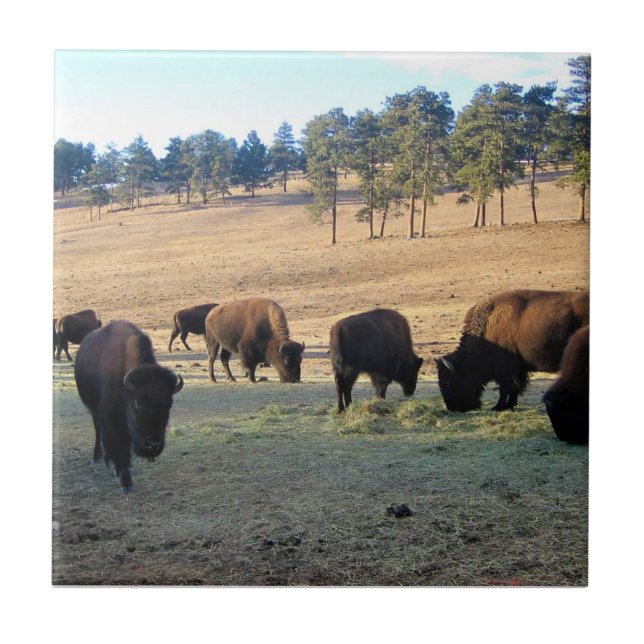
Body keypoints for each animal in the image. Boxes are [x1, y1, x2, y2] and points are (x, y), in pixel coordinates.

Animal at [74, 320, 184, 493]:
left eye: (169, 403)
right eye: (138, 403)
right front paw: (126, 482)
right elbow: (120, 446)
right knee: (98, 430)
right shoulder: (114, 420)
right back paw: (98, 457)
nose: (153, 445)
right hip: (94, 411)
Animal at [436, 289, 589, 412]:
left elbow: (505, 389)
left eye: (449, 383)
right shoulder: (517, 370)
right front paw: (509, 405)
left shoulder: (505, 371)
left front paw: (498, 407)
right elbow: (515, 388)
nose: (453, 409)